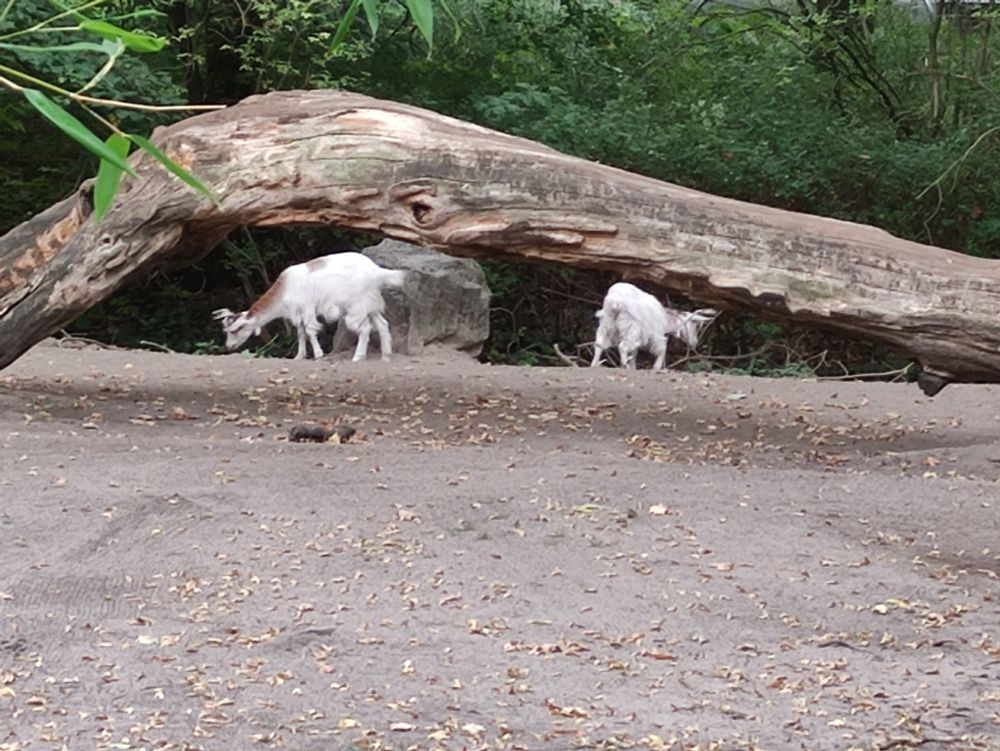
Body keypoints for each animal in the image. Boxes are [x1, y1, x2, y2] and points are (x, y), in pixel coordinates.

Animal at [214, 252, 406, 362]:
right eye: (226, 331)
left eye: (235, 330)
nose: (229, 347)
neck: (285, 290)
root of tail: (376, 271)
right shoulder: (297, 314)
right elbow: (300, 333)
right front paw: (299, 356)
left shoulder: (307, 308)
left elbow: (310, 331)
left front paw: (319, 355)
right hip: (370, 304)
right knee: (382, 324)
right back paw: (386, 356)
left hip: (355, 307)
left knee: (365, 328)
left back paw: (358, 357)